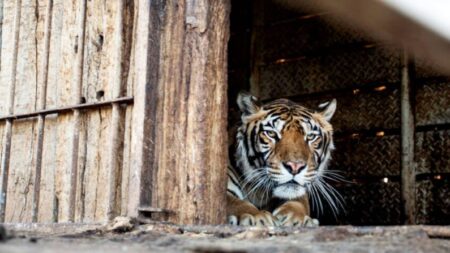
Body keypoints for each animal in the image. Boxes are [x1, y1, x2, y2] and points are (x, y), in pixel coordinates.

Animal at [227, 92, 340, 226]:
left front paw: (297, 218)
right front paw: (255, 216)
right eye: (271, 134)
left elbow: (298, 202)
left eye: (311, 136)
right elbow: (232, 202)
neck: (259, 192)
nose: (295, 166)